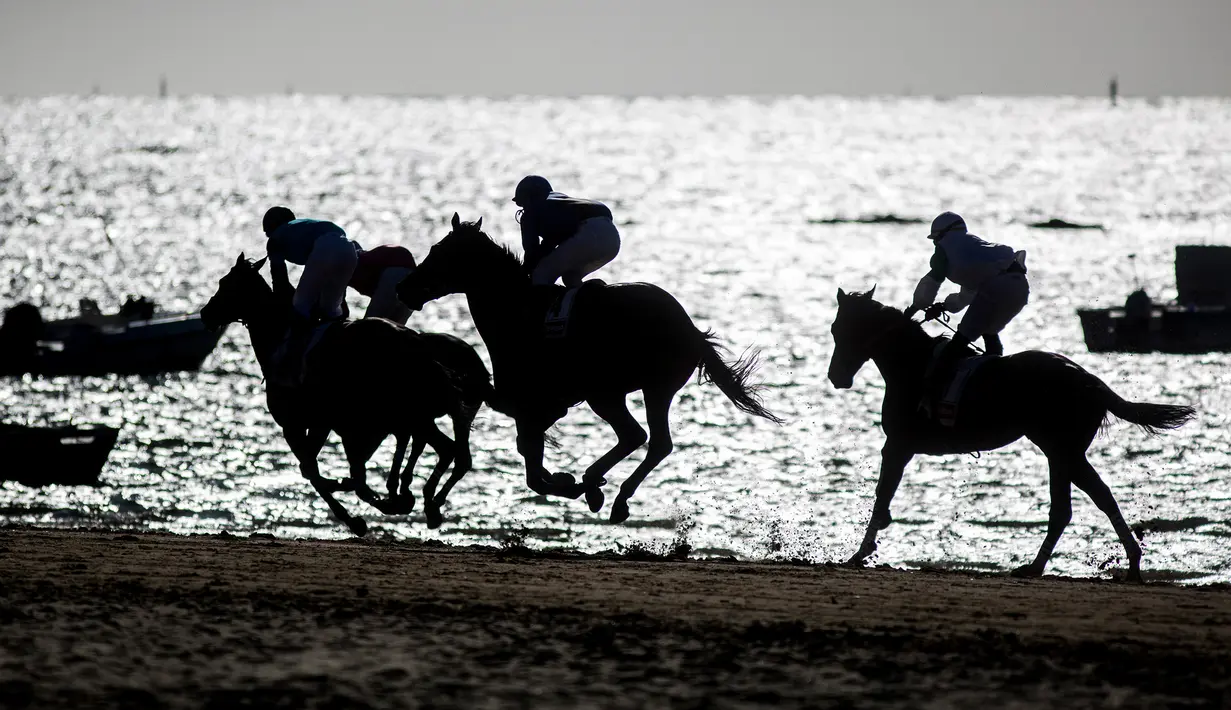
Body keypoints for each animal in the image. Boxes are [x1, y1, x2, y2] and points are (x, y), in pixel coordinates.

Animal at [201, 252, 489, 534]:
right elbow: (333, 472)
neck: (279, 337)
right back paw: (418, 499)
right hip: (413, 415)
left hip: (408, 414)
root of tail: (418, 343)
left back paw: (419, 499)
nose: (205, 314)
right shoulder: (338, 426)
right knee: (448, 450)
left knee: (446, 449)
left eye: (225, 283)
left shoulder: (298, 425)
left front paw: (356, 517)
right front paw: (380, 497)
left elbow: (313, 470)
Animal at [393, 211, 777, 521]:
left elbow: (533, 472)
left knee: (637, 436)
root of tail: (690, 329)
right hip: (650, 390)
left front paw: (572, 484)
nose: (403, 289)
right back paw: (612, 495)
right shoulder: (540, 410)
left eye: (439, 253)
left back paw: (598, 485)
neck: (515, 313)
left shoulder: (534, 406)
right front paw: (566, 480)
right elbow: (531, 461)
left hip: (608, 392)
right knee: (656, 442)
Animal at [827, 285, 1191, 578]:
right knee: (1077, 504)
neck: (911, 364)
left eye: (841, 328)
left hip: (1062, 449)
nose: (836, 376)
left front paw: (860, 552)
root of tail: (1092, 381)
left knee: (1084, 501)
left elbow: (882, 495)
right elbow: (884, 495)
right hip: (1062, 452)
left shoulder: (898, 444)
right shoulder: (900, 446)